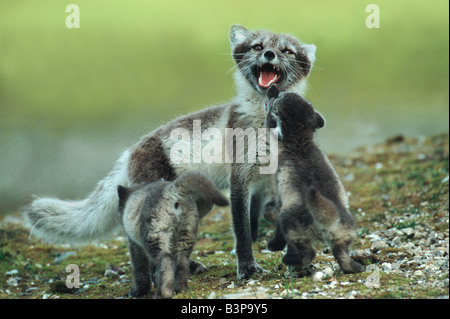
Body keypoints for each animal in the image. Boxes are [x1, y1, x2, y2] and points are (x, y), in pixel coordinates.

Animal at [24, 25, 316, 280]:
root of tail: (129, 152)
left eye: (287, 51)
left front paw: (298, 264)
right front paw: (247, 269)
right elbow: (243, 232)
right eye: (258, 47)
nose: (269, 55)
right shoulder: (240, 178)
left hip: (199, 204)